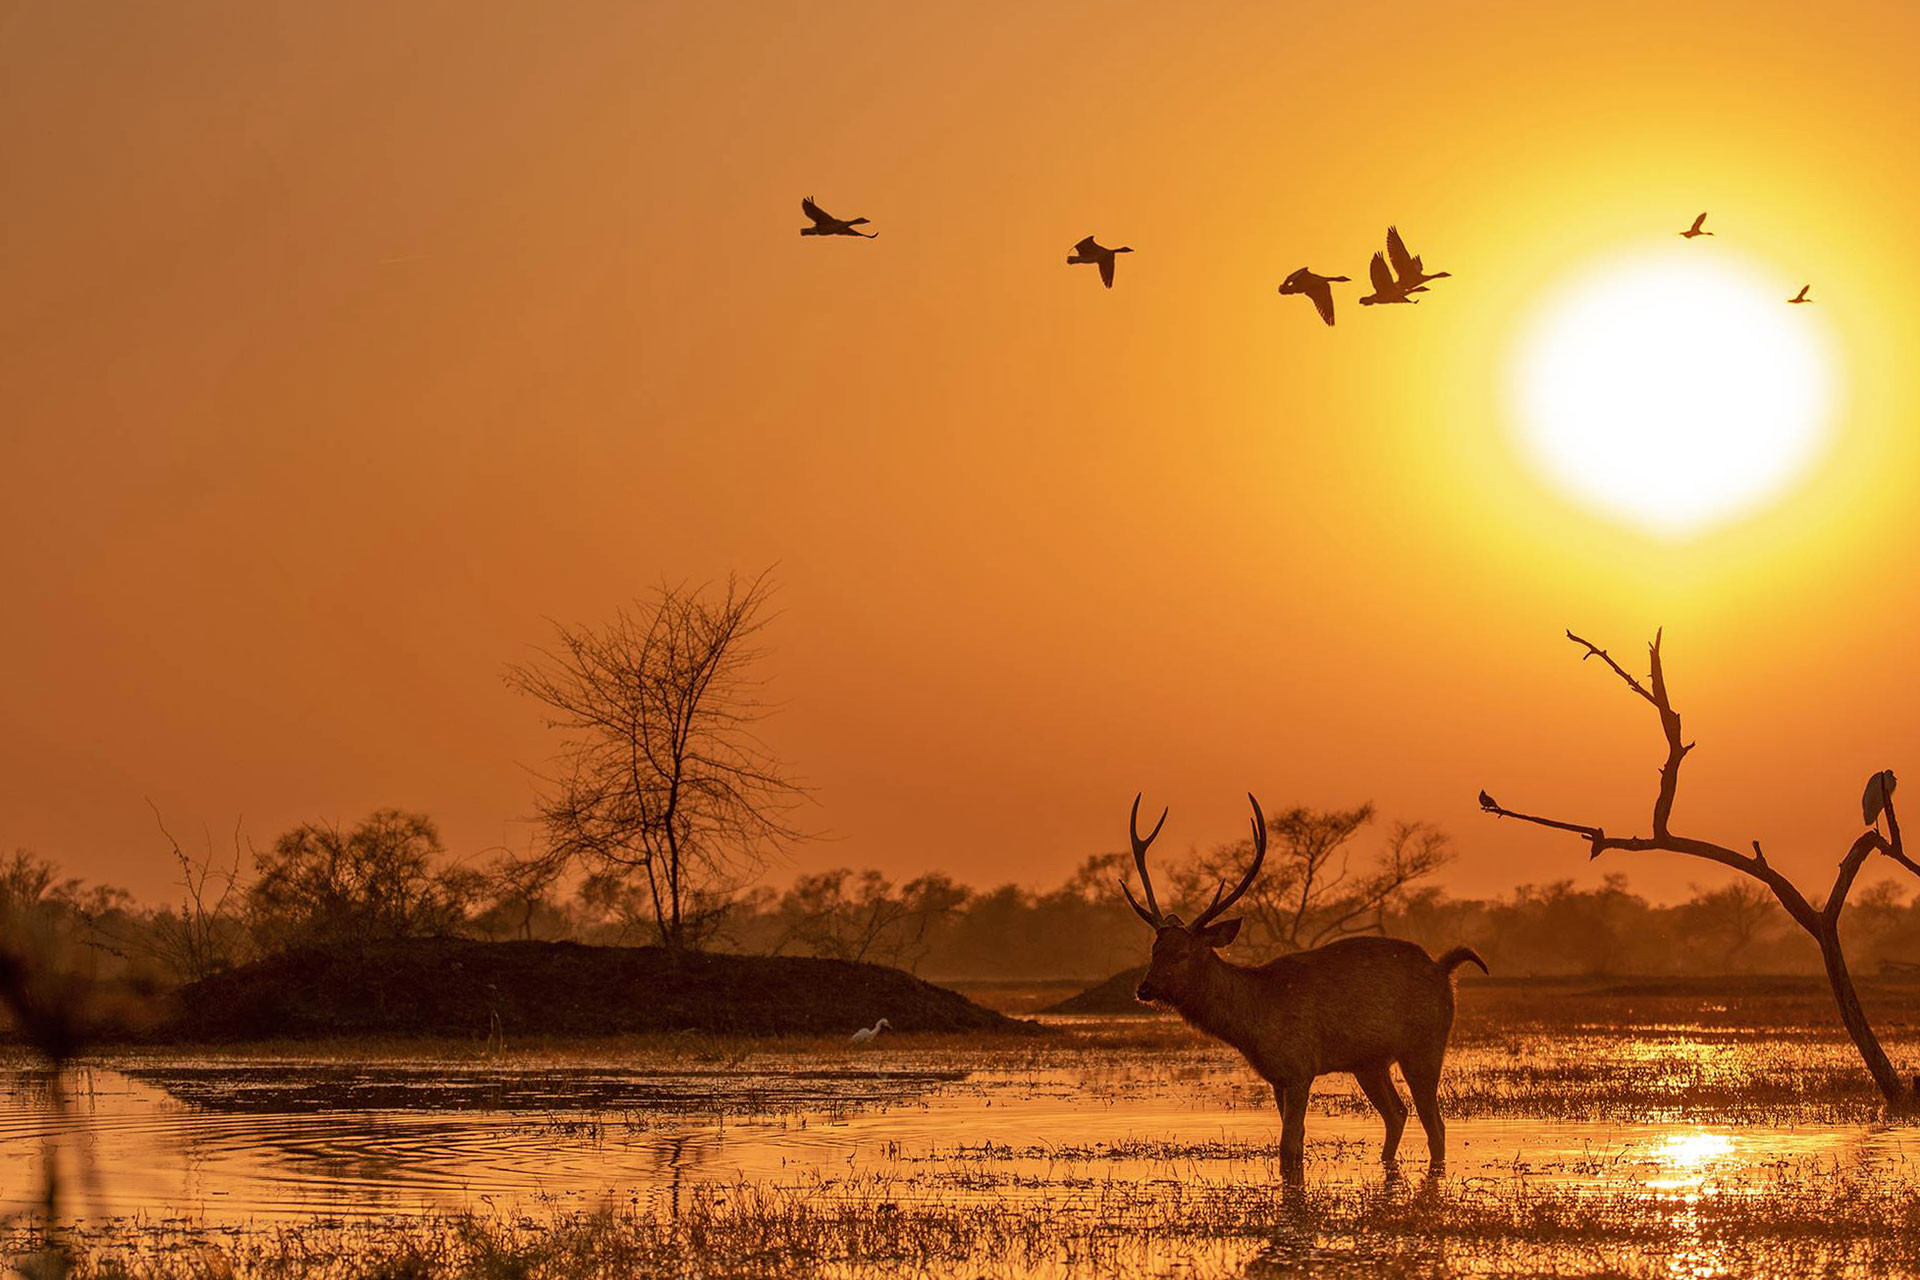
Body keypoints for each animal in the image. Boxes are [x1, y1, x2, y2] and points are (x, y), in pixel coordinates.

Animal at [1120, 793, 1487, 1179]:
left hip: (1424, 1044)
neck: (1253, 1020)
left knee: (1434, 1124)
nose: (1144, 989)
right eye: (1155, 949)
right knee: (1398, 1113)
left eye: (1183, 953)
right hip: (1370, 1063)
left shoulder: (1299, 1068)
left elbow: (1289, 1148)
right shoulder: (1277, 1078)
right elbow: (1294, 1142)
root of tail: (1443, 968)